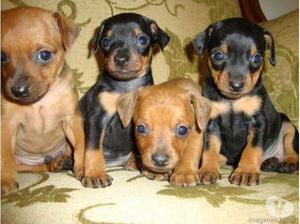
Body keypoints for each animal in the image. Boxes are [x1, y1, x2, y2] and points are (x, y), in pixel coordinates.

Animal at [1, 6, 84, 196]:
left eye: (44, 55)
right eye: (1, 57)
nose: (18, 91)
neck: (39, 102)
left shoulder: (71, 120)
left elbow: (82, 145)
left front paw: (85, 168)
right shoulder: (7, 125)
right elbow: (5, 156)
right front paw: (5, 181)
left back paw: (61, 161)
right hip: (24, 164)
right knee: (36, 167)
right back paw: (54, 164)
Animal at [79, 12, 169, 187]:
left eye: (142, 39)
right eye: (106, 41)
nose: (121, 59)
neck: (126, 87)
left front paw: (153, 170)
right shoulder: (97, 118)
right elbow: (93, 149)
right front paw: (95, 175)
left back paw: (133, 162)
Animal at [193, 17, 298, 186]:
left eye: (257, 58)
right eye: (218, 55)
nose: (236, 85)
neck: (232, 101)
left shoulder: (258, 123)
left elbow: (252, 149)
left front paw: (246, 171)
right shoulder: (211, 123)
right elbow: (209, 149)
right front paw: (208, 169)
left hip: (288, 126)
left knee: (292, 149)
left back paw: (289, 163)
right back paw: (270, 162)